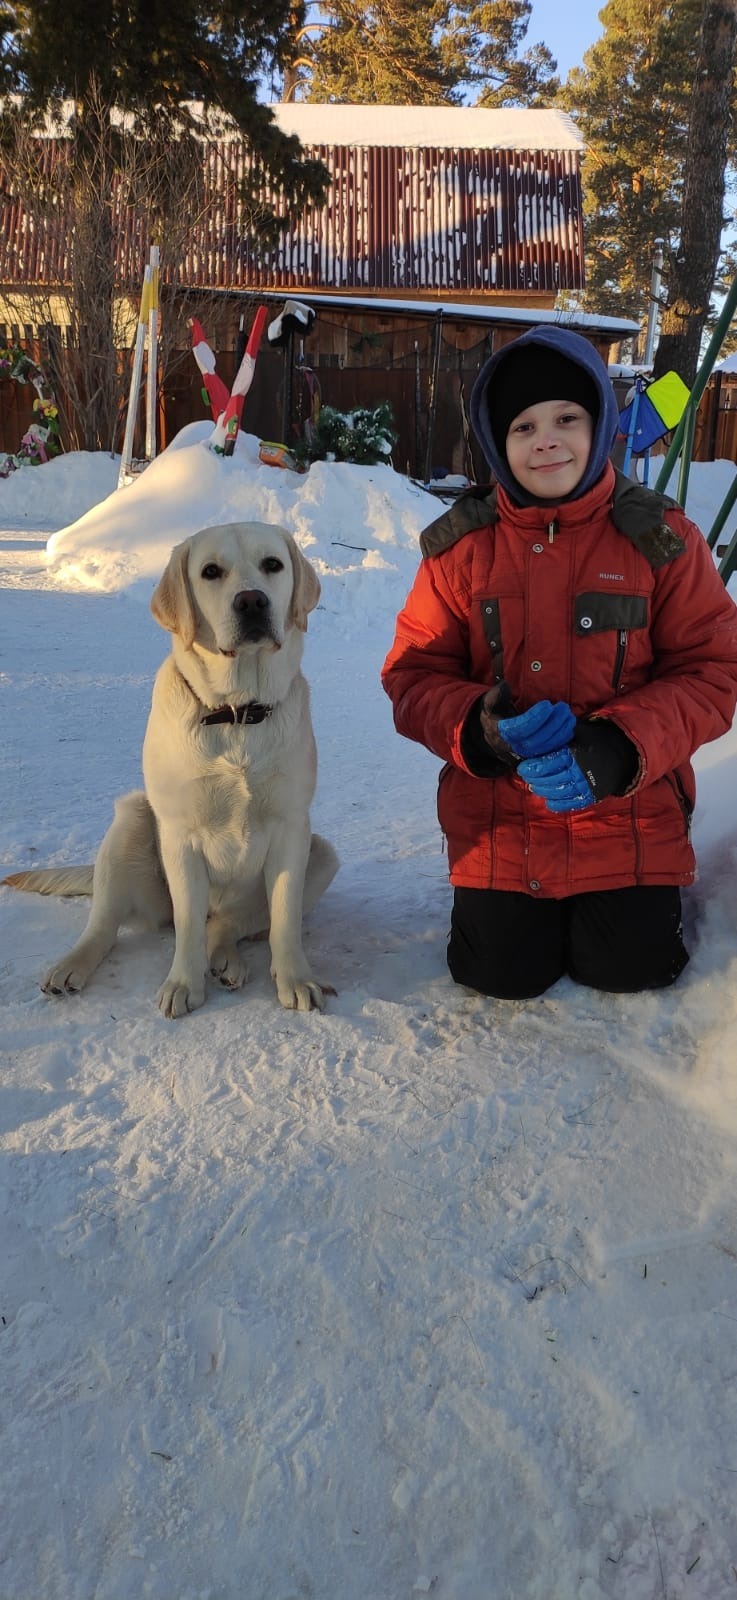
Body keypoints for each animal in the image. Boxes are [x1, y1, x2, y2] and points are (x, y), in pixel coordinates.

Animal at [2, 518, 335, 1017]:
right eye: (211, 571)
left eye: (273, 565)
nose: (252, 601)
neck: (236, 713)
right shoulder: (180, 834)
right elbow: (188, 923)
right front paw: (183, 983)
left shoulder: (293, 827)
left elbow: (284, 919)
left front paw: (295, 977)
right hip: (131, 820)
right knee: (107, 925)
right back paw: (71, 966)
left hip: (323, 853)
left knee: (226, 924)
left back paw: (227, 958)